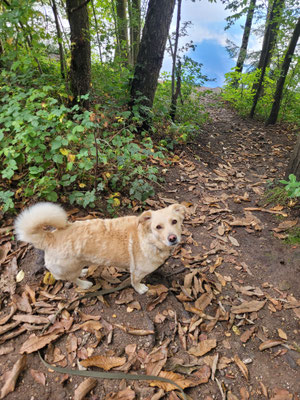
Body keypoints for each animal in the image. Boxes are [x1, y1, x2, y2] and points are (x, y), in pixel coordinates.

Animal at [15, 203, 186, 294]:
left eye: (174, 221)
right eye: (158, 227)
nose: (172, 238)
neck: (148, 238)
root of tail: (50, 237)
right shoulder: (137, 272)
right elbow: (135, 282)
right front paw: (140, 289)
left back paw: (83, 272)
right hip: (68, 267)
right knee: (70, 279)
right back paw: (84, 284)